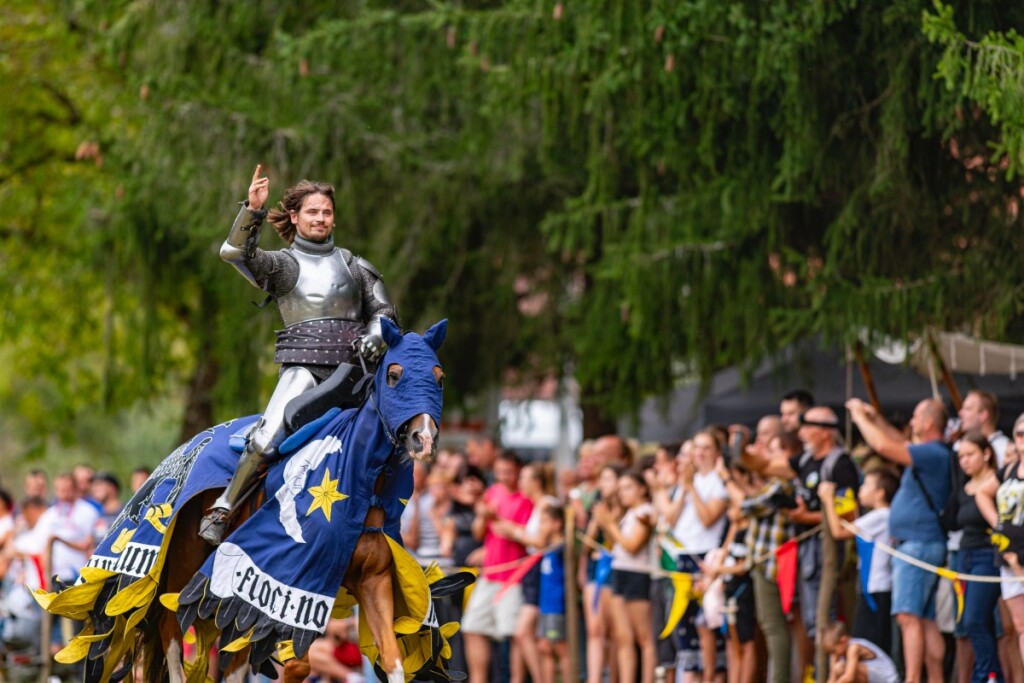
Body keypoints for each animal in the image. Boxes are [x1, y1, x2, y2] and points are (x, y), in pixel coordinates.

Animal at [37, 321, 468, 683]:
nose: (424, 438)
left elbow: (392, 659)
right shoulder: (286, 579)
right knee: (171, 632)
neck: (362, 482)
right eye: (394, 375)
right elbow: (296, 663)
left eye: (439, 377)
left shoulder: (370, 580)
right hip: (183, 564)